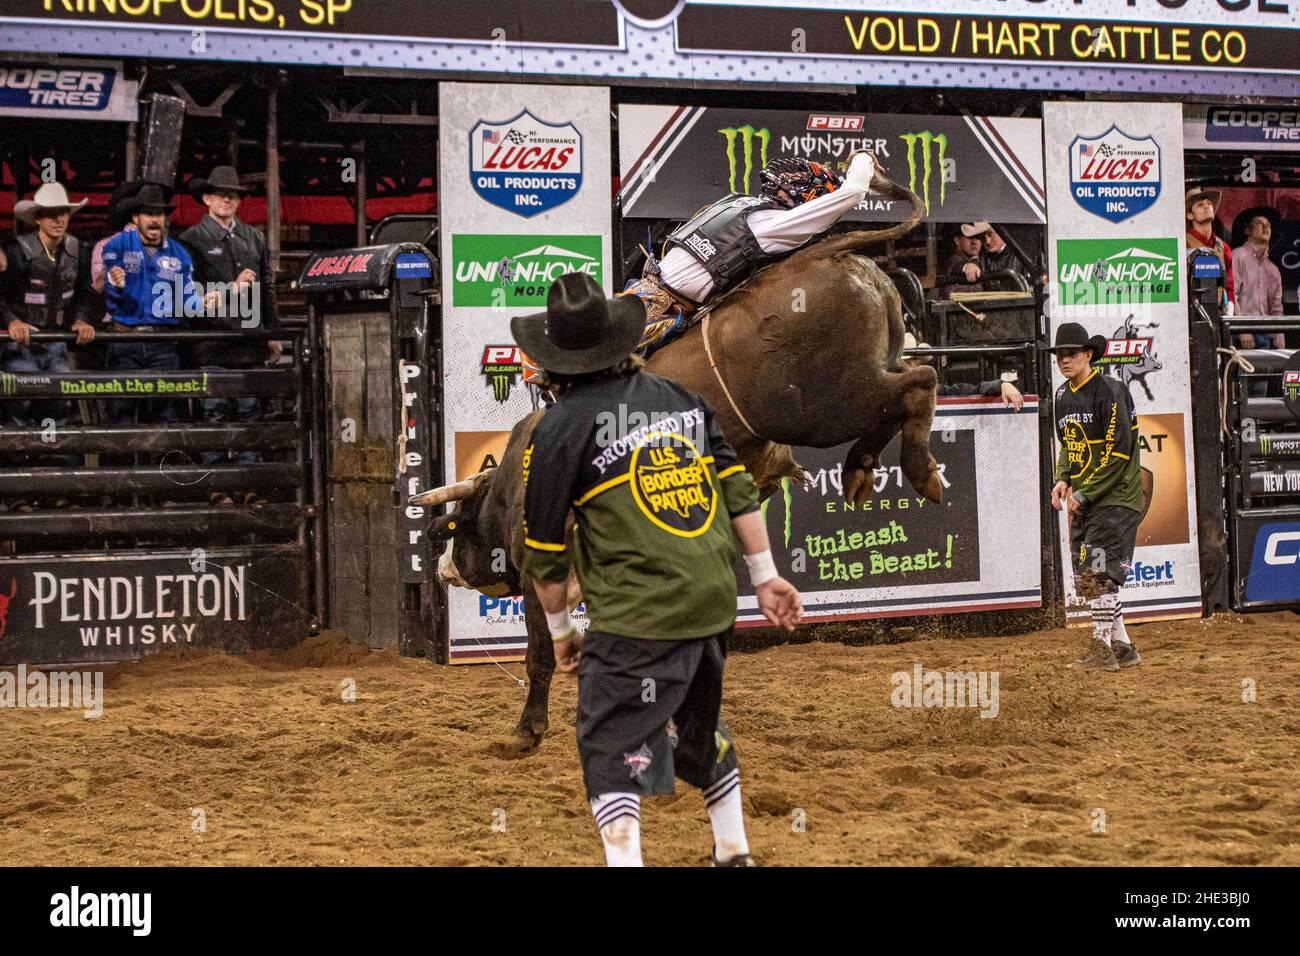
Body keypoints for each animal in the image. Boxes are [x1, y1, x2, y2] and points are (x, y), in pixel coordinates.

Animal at [416, 174, 935, 754]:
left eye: (460, 529)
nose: (441, 568)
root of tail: (833, 251)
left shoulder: (537, 572)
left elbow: (541, 654)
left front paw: (527, 731)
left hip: (820, 405)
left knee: (920, 384)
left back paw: (914, 470)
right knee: (909, 388)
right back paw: (864, 469)